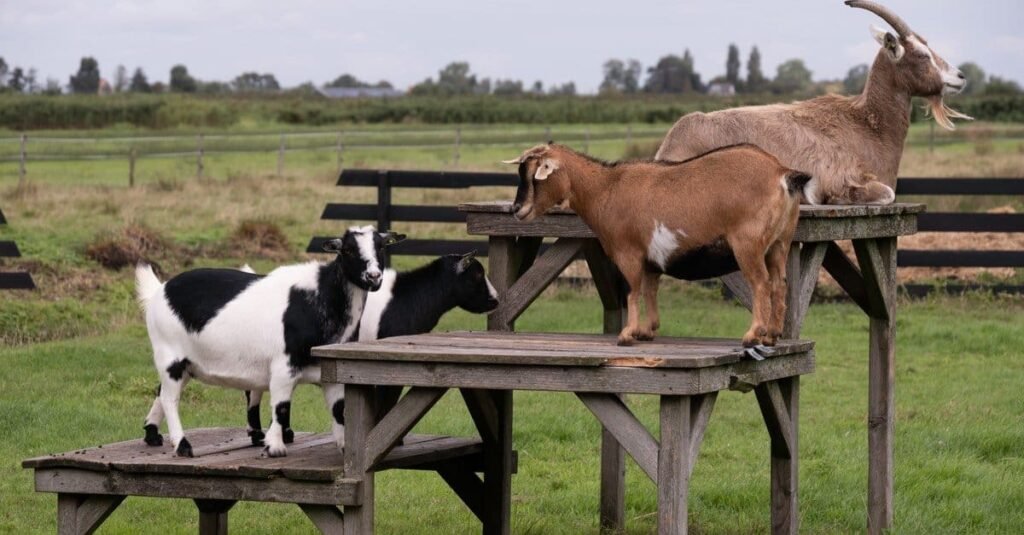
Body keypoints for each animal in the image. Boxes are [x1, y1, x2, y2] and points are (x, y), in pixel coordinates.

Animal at [137, 226, 405, 457]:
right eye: (348, 250)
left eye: (381, 247)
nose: (373, 277)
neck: (321, 299)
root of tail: (159, 290)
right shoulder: (283, 367)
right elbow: (281, 406)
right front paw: (275, 447)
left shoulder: (331, 369)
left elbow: (339, 409)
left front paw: (344, 447)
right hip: (169, 354)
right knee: (170, 398)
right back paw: (182, 445)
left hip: (186, 362)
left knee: (162, 392)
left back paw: (152, 434)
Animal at [506, 143, 809, 349]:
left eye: (534, 176)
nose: (516, 210)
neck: (606, 189)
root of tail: (781, 172)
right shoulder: (652, 260)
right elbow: (650, 290)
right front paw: (648, 330)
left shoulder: (628, 253)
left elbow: (633, 291)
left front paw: (628, 334)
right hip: (779, 243)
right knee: (780, 284)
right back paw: (772, 335)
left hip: (748, 245)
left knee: (761, 284)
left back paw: (753, 334)